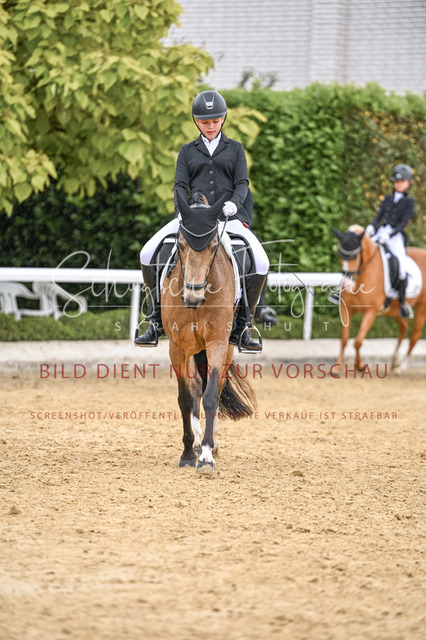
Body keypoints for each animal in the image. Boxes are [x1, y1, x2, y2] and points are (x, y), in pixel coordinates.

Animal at [161, 191, 257, 473]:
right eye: (180, 245)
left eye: (213, 247)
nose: (193, 297)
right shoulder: (177, 347)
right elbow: (185, 397)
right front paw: (187, 453)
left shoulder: (217, 342)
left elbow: (211, 395)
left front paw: (205, 457)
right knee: (194, 390)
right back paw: (195, 443)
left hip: (225, 348)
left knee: (214, 386)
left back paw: (209, 445)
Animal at [331, 225, 426, 374]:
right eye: (339, 255)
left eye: (355, 256)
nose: (347, 285)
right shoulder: (346, 309)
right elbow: (344, 339)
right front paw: (337, 367)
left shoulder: (370, 313)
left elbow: (358, 341)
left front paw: (360, 365)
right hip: (397, 310)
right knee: (403, 328)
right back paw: (394, 362)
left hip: (422, 306)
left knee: (415, 335)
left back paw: (401, 368)